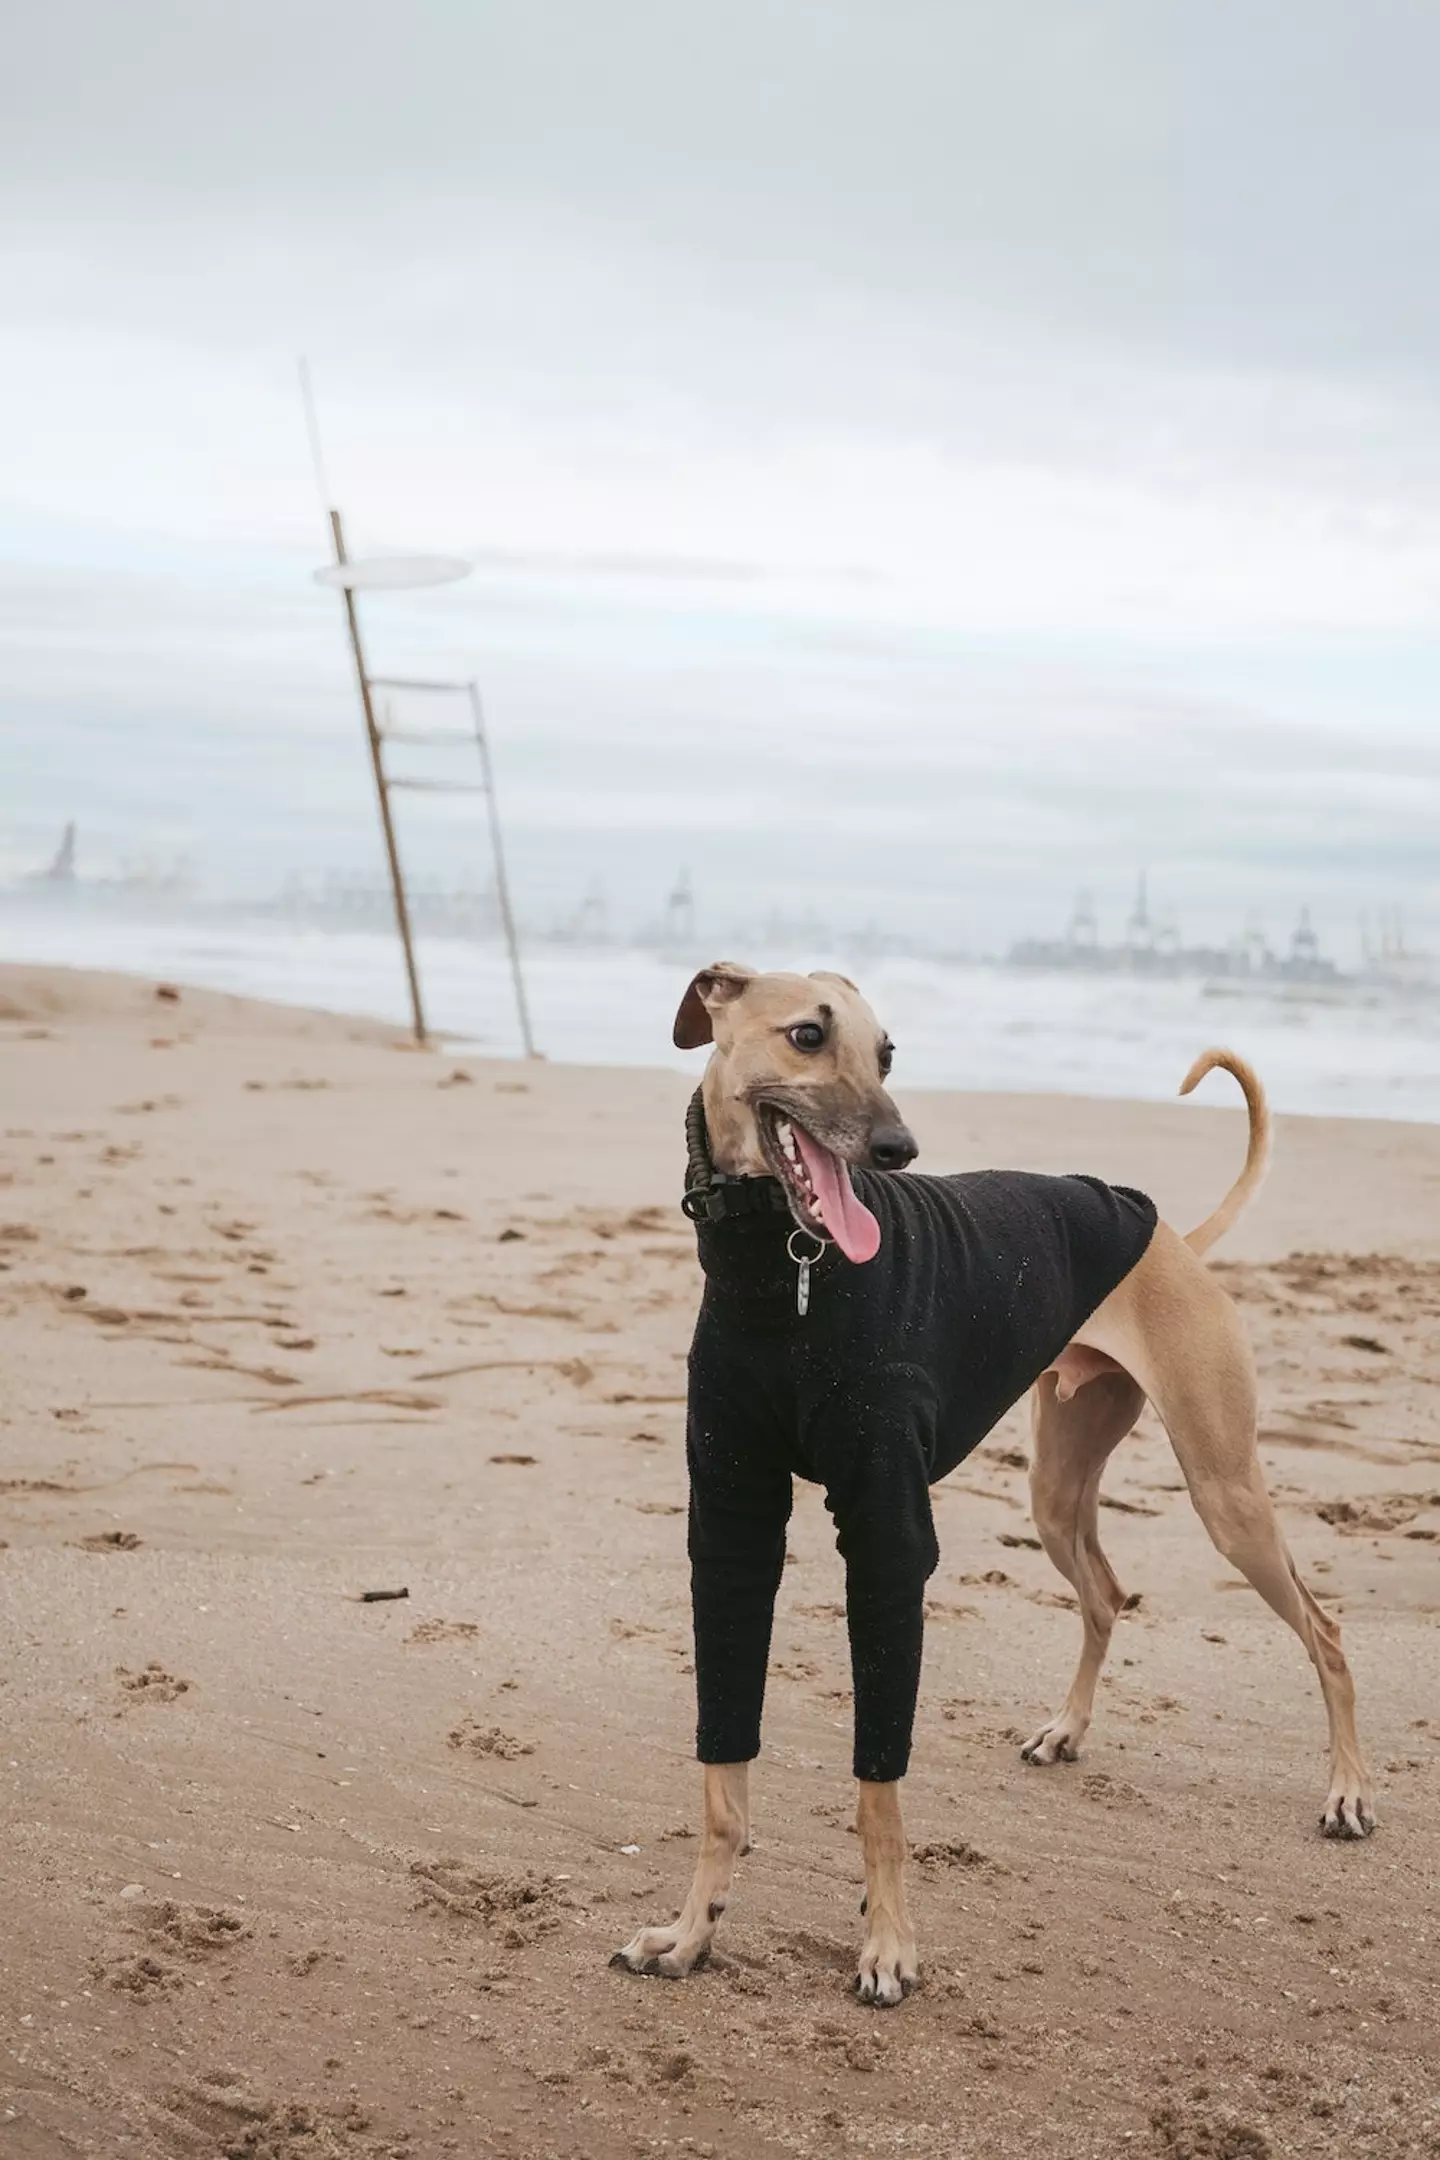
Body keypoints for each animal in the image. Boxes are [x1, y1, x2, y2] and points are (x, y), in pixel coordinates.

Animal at [613, 963, 1373, 2004]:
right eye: (808, 1034)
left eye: (888, 1052)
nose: (897, 1150)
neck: (786, 1275)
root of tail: (1172, 1236)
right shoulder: (729, 1527)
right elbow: (723, 1773)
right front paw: (690, 1933)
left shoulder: (889, 1545)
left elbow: (879, 1791)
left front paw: (888, 1946)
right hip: (1058, 1485)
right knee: (1105, 1593)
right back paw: (1066, 1732)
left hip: (1227, 1491)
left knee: (1324, 1630)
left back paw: (1346, 1793)